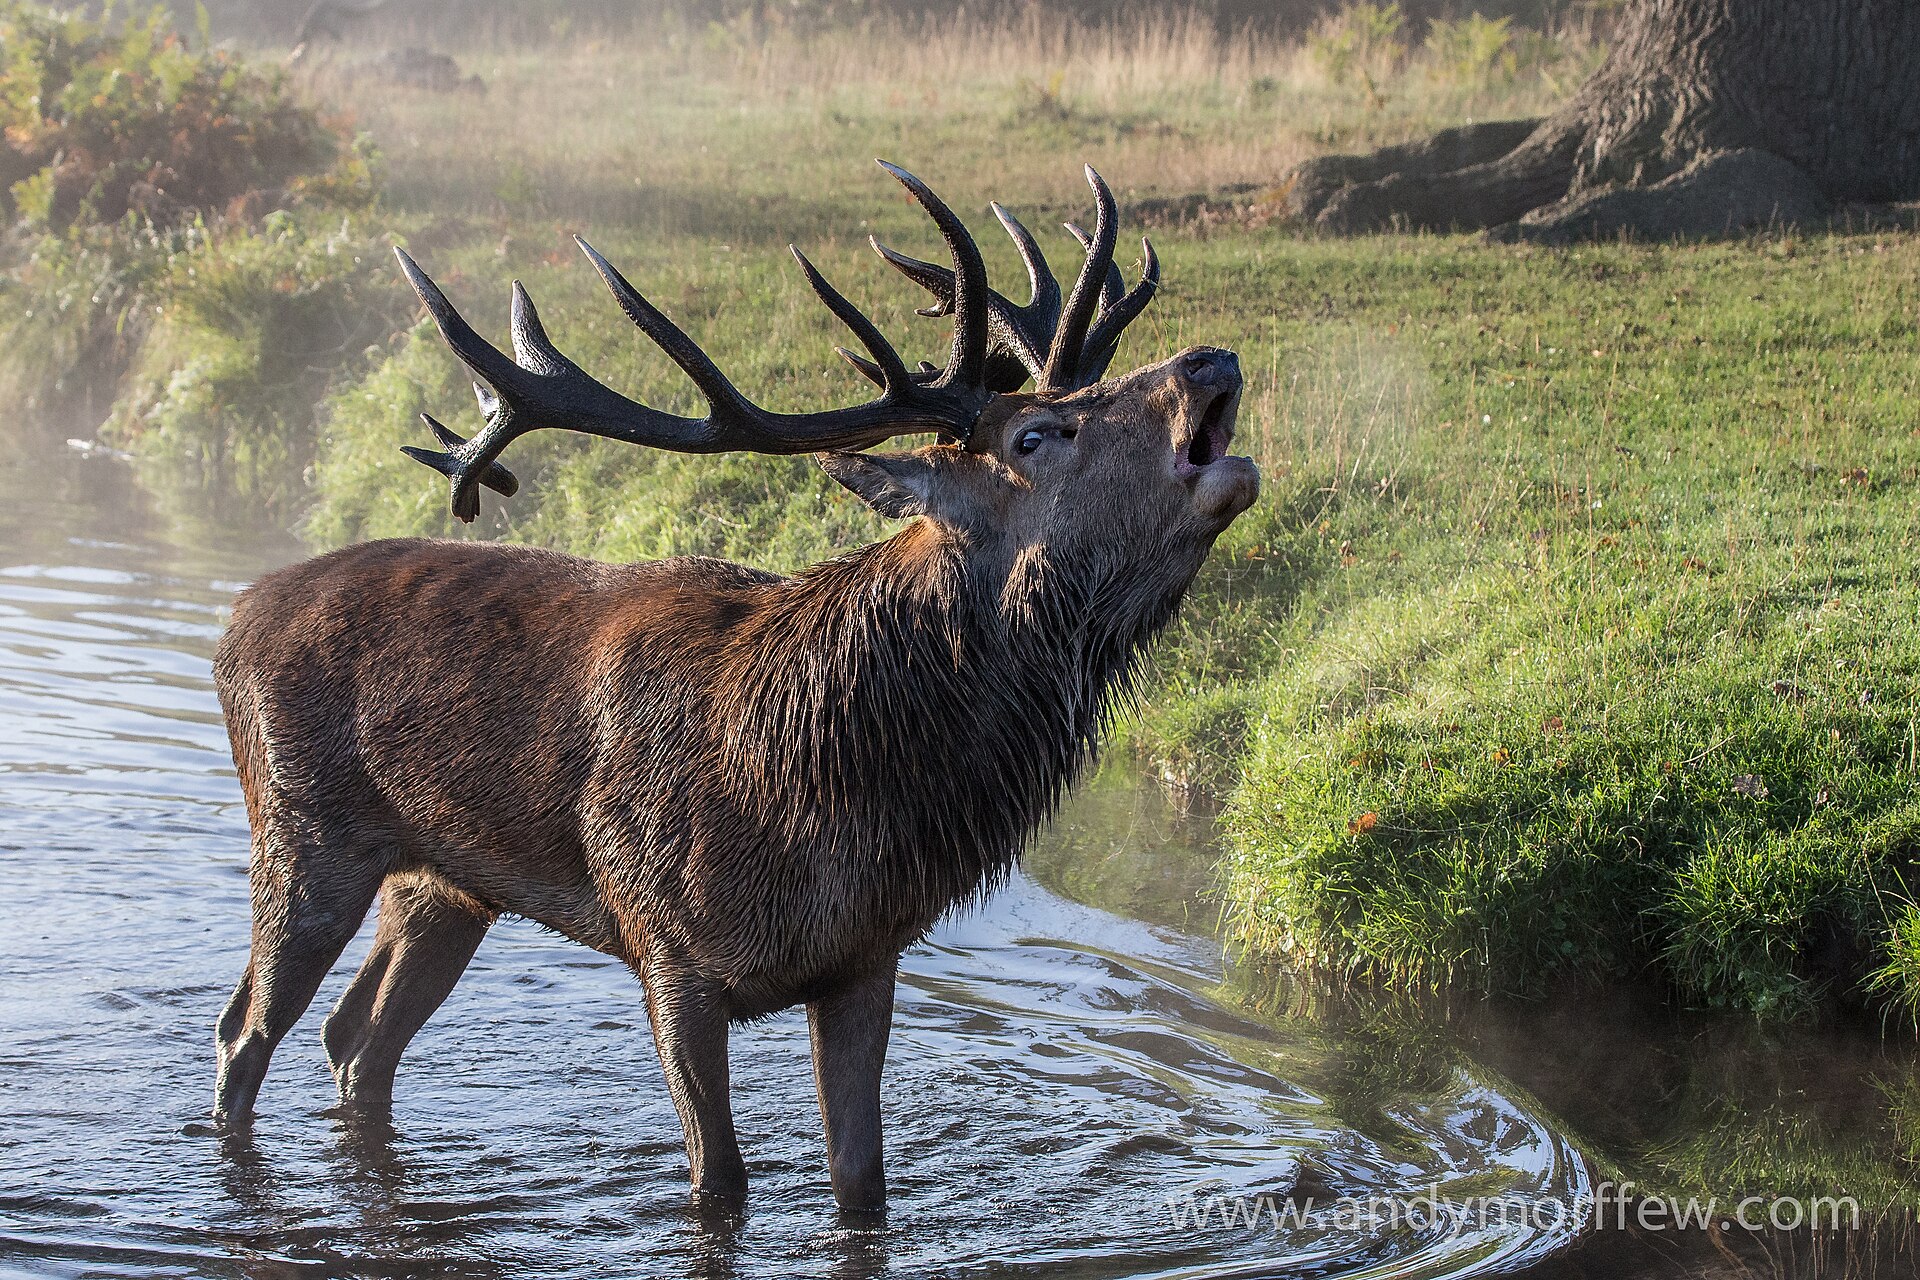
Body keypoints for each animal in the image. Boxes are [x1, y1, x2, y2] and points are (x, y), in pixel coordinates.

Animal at [210, 161, 1258, 1214]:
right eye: (1039, 434)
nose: (1210, 359)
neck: (823, 797)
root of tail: (237, 619)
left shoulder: (865, 960)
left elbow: (862, 1181)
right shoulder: (671, 952)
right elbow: (720, 1180)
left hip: (442, 884)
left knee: (356, 1039)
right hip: (302, 835)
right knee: (243, 1033)